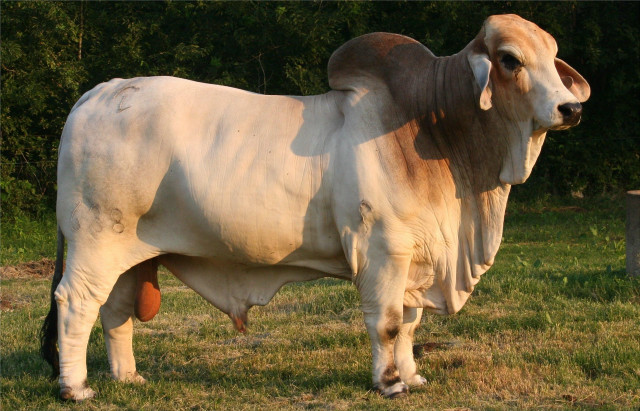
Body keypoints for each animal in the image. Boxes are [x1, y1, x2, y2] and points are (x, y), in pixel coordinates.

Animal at [41, 14, 589, 400]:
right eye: (510, 59)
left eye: (554, 56)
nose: (571, 108)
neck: (436, 131)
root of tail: (97, 93)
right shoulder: (383, 249)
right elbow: (388, 322)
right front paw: (389, 383)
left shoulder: (418, 254)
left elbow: (410, 323)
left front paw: (413, 377)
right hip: (94, 240)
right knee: (75, 303)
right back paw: (76, 388)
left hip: (131, 251)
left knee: (115, 309)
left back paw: (127, 378)